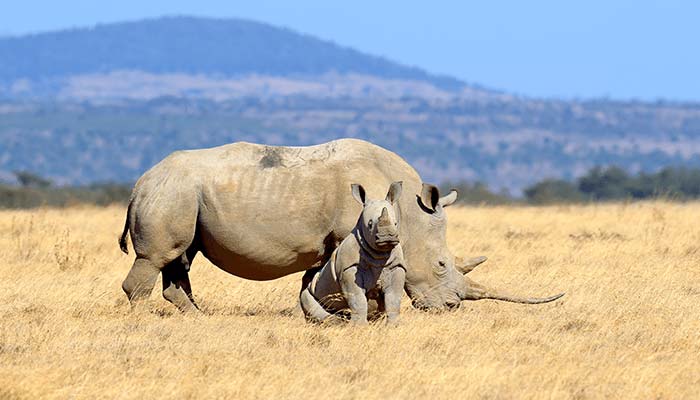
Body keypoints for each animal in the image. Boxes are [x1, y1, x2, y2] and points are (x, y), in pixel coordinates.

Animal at [300, 181, 406, 325]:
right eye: (370, 224)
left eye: (395, 223)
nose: (388, 237)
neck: (380, 253)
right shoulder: (349, 268)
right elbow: (357, 298)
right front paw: (359, 326)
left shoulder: (396, 266)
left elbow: (394, 298)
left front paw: (394, 326)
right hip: (311, 289)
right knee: (308, 299)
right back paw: (337, 322)